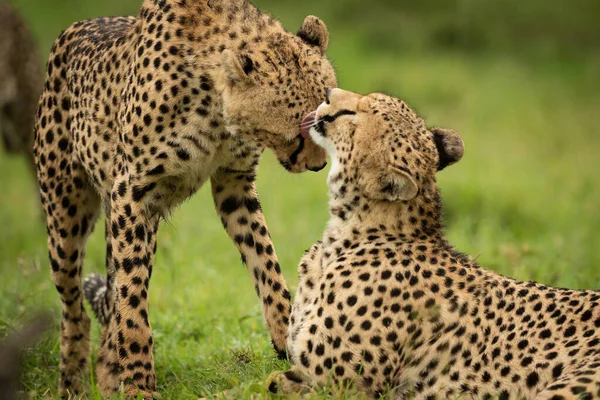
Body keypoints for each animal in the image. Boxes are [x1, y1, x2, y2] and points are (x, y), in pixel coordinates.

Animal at [34, 0, 338, 396]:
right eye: (297, 133)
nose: (318, 166)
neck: (216, 103)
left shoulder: (234, 184)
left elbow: (266, 262)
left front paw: (285, 334)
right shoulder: (131, 192)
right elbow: (132, 301)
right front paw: (139, 384)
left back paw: (108, 374)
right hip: (67, 215)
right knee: (75, 306)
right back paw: (74, 381)